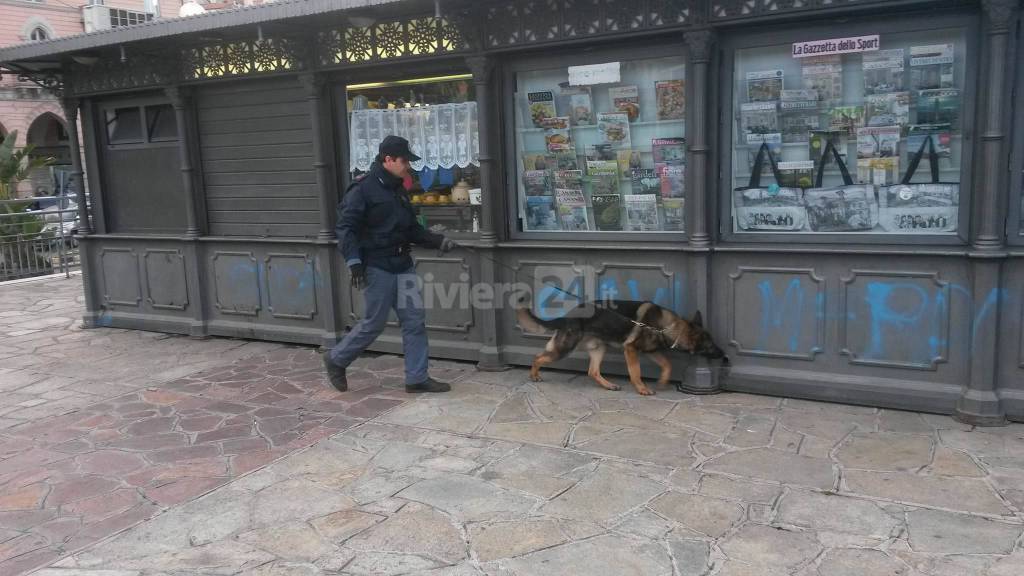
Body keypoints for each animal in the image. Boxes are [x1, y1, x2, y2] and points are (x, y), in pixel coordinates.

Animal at [520, 297, 729, 391]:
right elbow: (635, 371)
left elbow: (667, 364)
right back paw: (534, 375)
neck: (666, 327)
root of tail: (566, 315)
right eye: (711, 345)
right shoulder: (631, 349)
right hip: (564, 348)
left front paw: (662, 381)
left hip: (599, 348)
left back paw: (609, 385)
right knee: (538, 357)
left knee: (593, 371)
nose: (724, 354)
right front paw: (642, 389)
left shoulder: (651, 351)